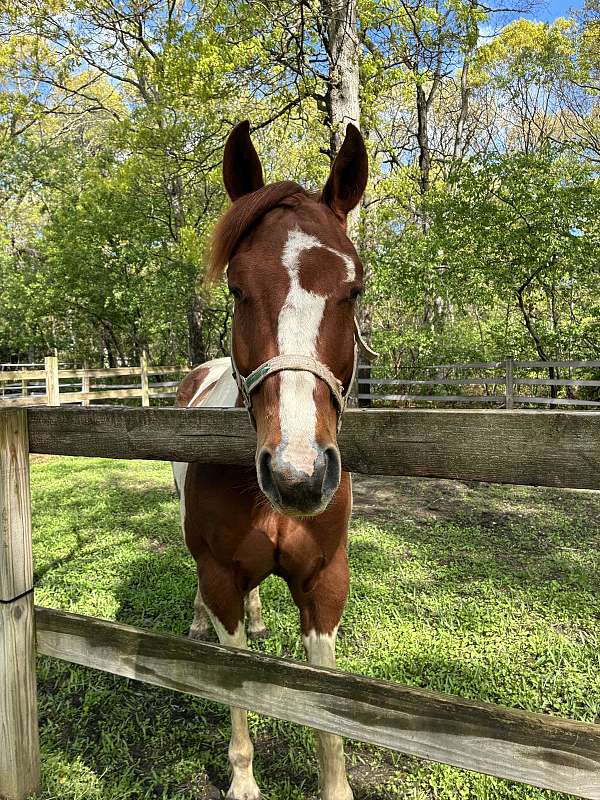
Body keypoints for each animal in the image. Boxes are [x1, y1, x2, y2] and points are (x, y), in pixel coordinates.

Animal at [173, 120, 368, 800]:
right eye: (237, 288)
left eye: (353, 289)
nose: (299, 476)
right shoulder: (221, 577)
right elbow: (237, 688)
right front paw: (243, 782)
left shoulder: (324, 584)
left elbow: (326, 711)